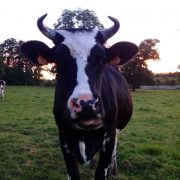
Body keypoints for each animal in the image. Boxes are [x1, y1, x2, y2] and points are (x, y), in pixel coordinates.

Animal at [21, 13, 139, 179]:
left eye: (101, 58)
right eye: (59, 59)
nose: (86, 105)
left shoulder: (109, 136)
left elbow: (102, 170)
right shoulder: (63, 136)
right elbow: (73, 173)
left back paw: (114, 168)